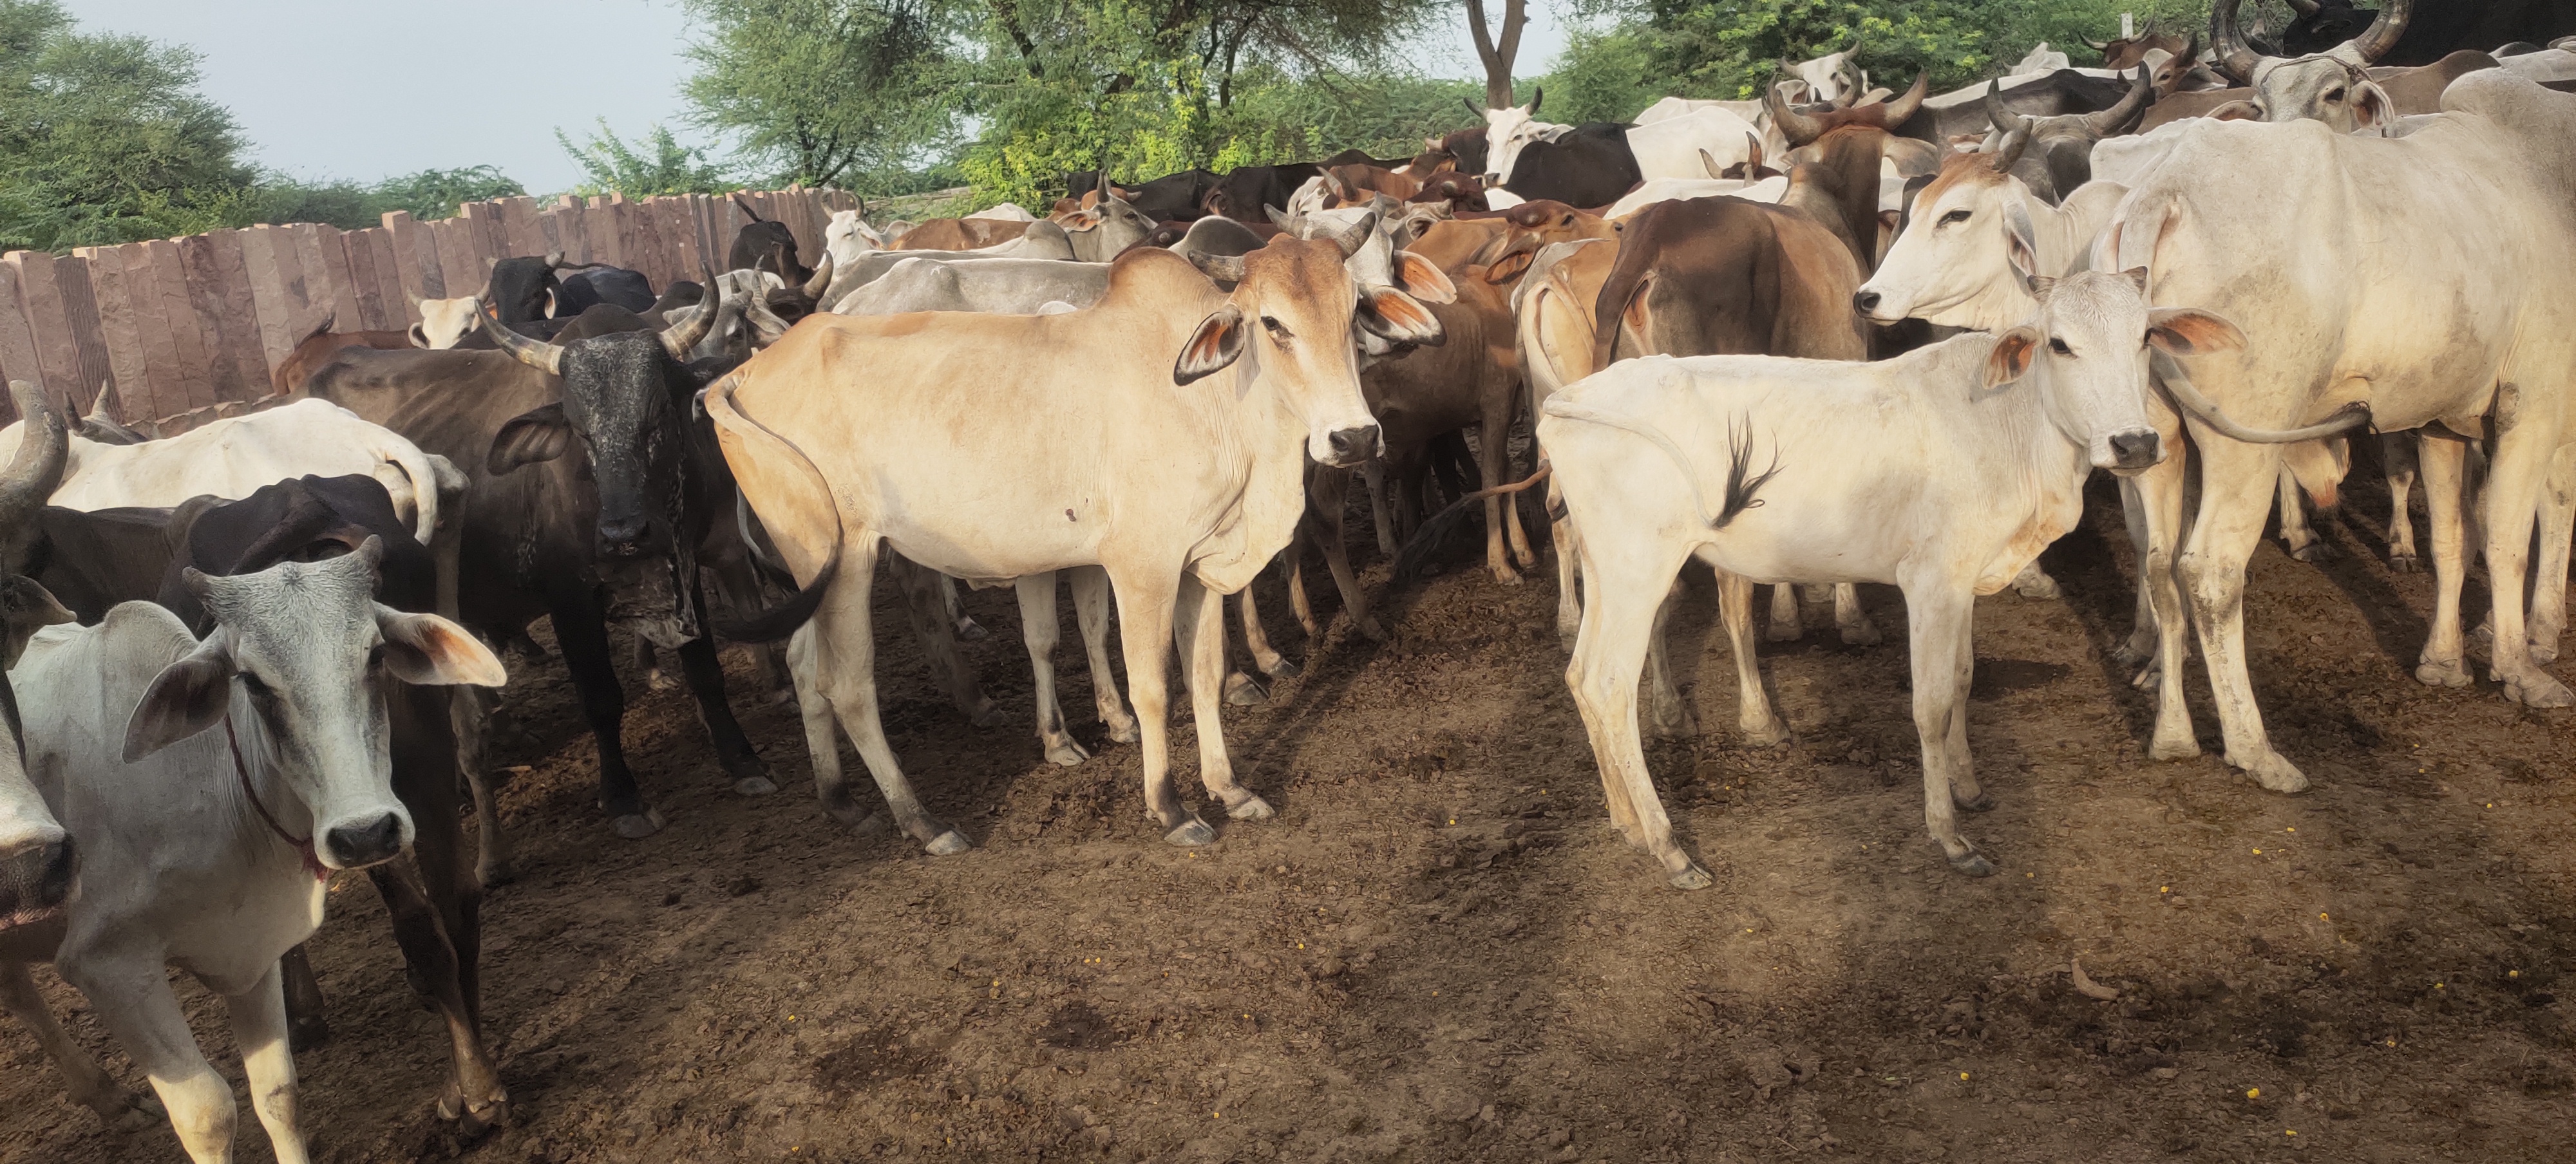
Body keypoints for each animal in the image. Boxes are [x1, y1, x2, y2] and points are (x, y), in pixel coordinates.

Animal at [0, 542, 503, 1160]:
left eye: (377, 655)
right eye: (253, 682)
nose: (365, 833)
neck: (200, 786)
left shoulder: (254, 953)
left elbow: (279, 1095)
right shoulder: (108, 968)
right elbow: (210, 1115)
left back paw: (112, 1100)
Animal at [303, 293, 783, 839]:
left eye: (658, 416)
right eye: (579, 431)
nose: (623, 534)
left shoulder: (684, 568)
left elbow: (706, 672)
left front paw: (743, 761)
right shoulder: (570, 597)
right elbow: (601, 697)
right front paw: (624, 798)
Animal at [701, 239, 1433, 853]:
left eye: (1353, 313)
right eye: (1273, 324)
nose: (1354, 438)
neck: (1214, 403)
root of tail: (741, 372)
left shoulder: (1197, 568)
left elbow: (1203, 674)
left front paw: (1229, 788)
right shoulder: (1142, 569)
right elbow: (1151, 687)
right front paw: (1171, 807)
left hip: (812, 570)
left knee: (803, 665)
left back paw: (840, 800)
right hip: (849, 558)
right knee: (849, 684)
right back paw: (923, 821)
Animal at [1540, 264, 2234, 887]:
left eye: (2145, 337)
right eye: (2060, 343)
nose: (2135, 444)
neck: (2014, 428)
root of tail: (1574, 397)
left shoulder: (1962, 581)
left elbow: (1962, 680)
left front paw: (1968, 785)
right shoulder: (1929, 581)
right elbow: (1929, 704)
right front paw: (1950, 835)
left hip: (1609, 572)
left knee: (1579, 676)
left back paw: (1626, 823)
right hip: (1638, 571)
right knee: (1607, 684)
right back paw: (1669, 848)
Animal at [2094, 70, 2576, 797]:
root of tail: (2164, 192)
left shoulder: (2442, 420)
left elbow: (2453, 538)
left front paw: (2444, 660)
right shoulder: (2537, 403)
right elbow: (2510, 535)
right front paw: (2522, 667)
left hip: (2159, 439)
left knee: (2158, 564)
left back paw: (2173, 734)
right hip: (2247, 437)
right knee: (2209, 569)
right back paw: (2254, 748)